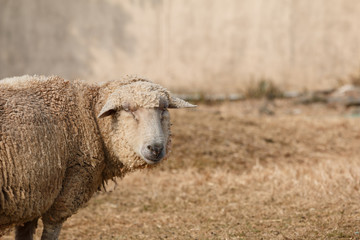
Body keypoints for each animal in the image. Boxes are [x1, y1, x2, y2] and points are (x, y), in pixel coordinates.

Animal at [0, 74, 195, 238]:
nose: (155, 148)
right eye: (127, 109)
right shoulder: (67, 190)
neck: (90, 115)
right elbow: (51, 230)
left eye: (164, 108)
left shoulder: (33, 198)